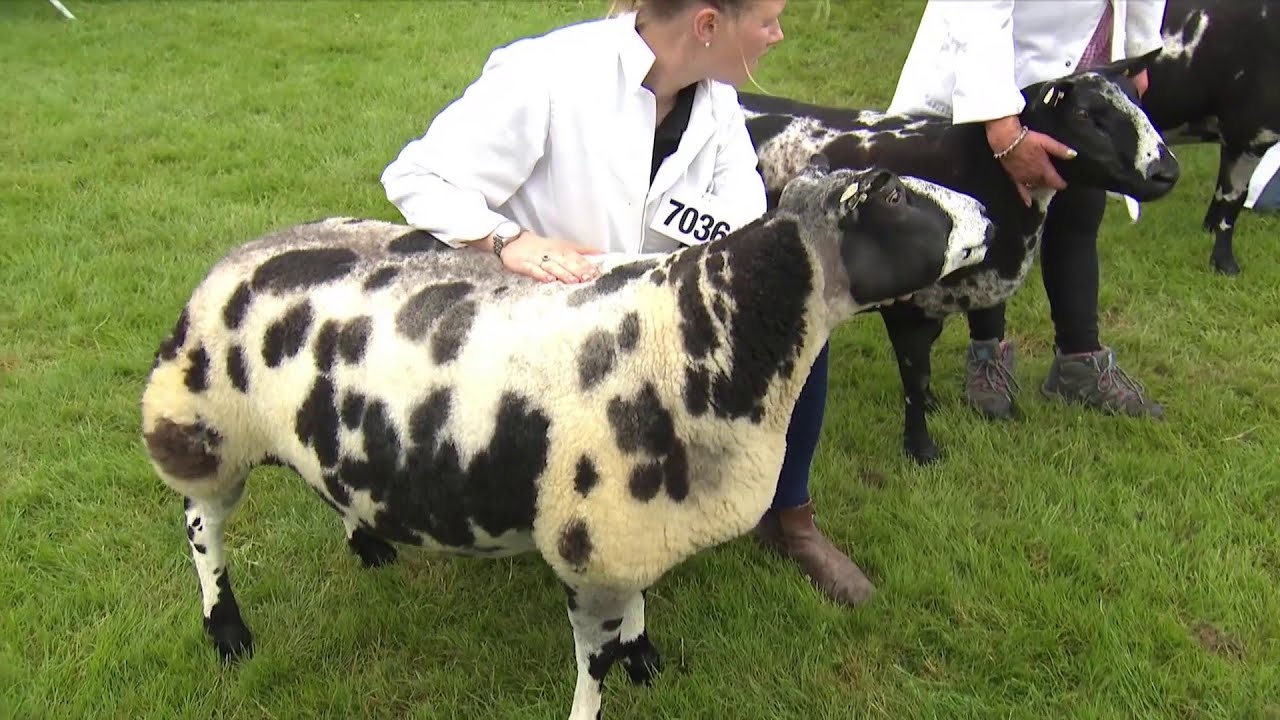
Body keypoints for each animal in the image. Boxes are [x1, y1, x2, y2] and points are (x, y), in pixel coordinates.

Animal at [139, 163, 994, 720]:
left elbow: (635, 613)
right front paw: (606, 688)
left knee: (327, 479)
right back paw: (227, 630)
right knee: (202, 529)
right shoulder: (595, 534)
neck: (711, 327)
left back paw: (368, 541)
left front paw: (647, 658)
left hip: (320, 425)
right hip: (202, 427)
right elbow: (594, 662)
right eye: (893, 194)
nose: (988, 217)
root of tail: (237, 256)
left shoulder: (633, 525)